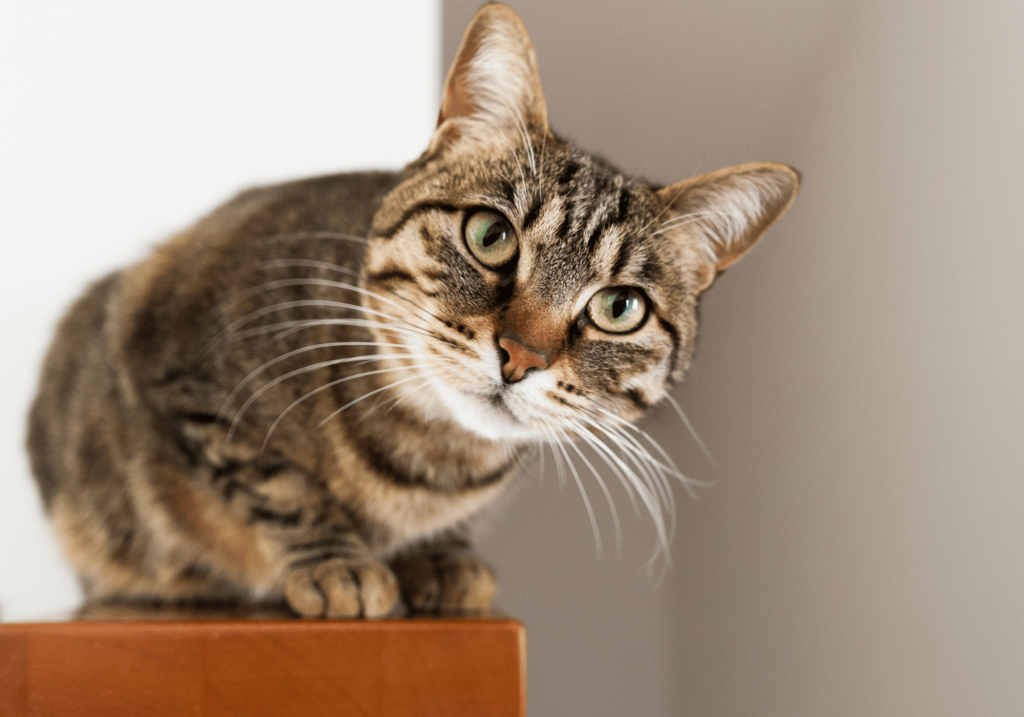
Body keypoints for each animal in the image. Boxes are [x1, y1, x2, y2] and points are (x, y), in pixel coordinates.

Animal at [25, 2, 798, 618]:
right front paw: (339, 563)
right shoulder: (176, 357)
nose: (521, 357)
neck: (434, 461)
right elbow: (275, 480)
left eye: (618, 306)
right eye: (491, 236)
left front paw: (441, 556)